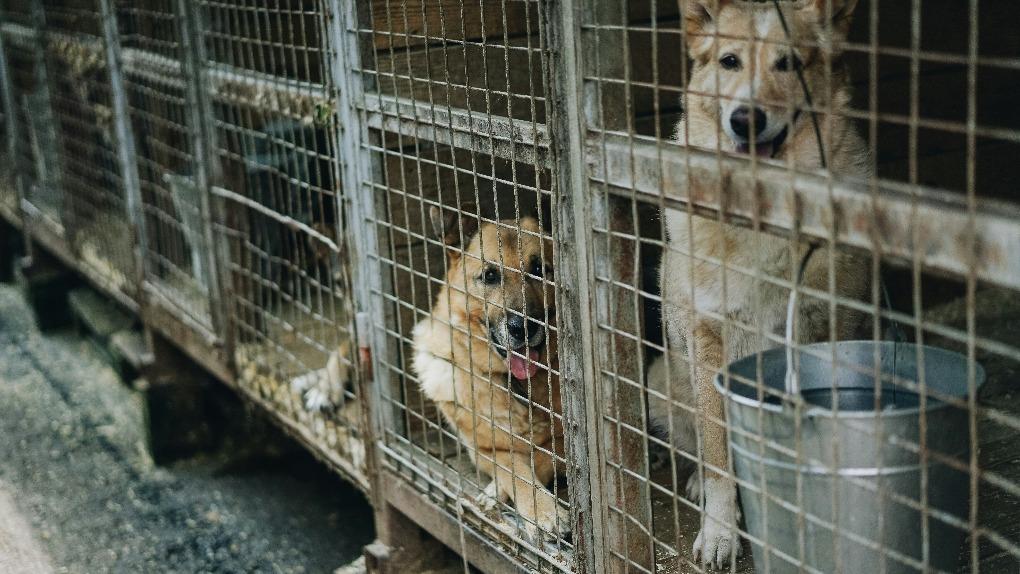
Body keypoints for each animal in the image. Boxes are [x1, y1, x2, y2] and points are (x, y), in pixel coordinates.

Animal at [414, 209, 575, 542]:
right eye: (490, 276)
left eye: (539, 269)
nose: (523, 327)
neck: (516, 386)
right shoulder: (482, 449)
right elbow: (512, 465)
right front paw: (543, 510)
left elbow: (537, 458)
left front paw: (540, 510)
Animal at [656, 0, 873, 566]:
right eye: (730, 61)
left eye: (788, 63)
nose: (746, 118)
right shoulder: (707, 339)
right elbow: (717, 453)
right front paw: (720, 531)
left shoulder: (833, 325)